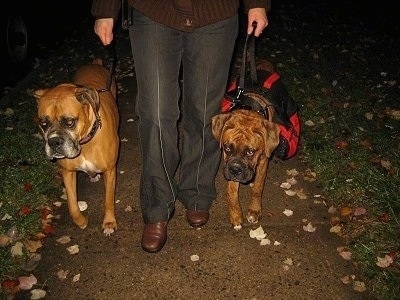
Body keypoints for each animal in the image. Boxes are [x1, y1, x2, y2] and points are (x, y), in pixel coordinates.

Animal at [34, 58, 119, 236]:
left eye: (69, 122)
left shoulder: (110, 171)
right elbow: (72, 204)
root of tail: (95, 63)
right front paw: (81, 221)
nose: (54, 142)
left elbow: (108, 200)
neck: (85, 143)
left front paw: (109, 222)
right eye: (43, 124)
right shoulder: (67, 173)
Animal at [211, 96, 280, 230]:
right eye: (227, 148)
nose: (235, 170)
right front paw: (236, 216)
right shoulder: (230, 168)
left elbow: (257, 188)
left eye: (250, 152)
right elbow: (232, 193)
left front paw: (254, 210)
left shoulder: (263, 162)